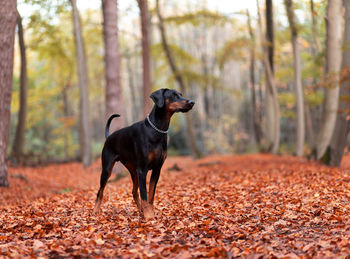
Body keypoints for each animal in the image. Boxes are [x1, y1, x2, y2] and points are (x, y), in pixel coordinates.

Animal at [94, 88, 196, 220]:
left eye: (181, 94)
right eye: (174, 95)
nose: (192, 102)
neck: (156, 129)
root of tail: (109, 137)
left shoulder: (157, 169)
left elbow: (151, 194)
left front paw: (150, 213)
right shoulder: (142, 170)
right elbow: (144, 195)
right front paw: (149, 216)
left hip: (133, 171)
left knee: (134, 191)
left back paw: (141, 211)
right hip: (107, 170)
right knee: (100, 191)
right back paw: (95, 210)